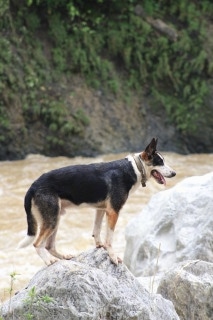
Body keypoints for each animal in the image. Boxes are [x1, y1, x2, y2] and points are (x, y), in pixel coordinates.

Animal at [18, 138, 175, 264]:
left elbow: (97, 231)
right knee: (37, 244)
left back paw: (64, 257)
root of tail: (33, 186)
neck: (134, 168)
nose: (174, 173)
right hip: (51, 219)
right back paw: (49, 261)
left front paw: (100, 246)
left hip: (55, 218)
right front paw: (112, 256)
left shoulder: (101, 209)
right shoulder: (113, 212)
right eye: (160, 162)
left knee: (49, 246)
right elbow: (109, 239)